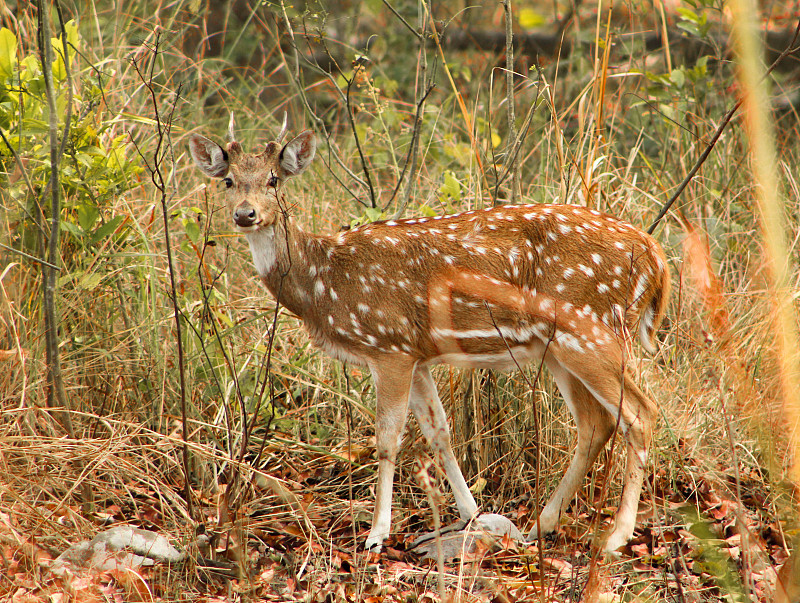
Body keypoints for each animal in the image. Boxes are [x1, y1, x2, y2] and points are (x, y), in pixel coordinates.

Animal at [191, 124, 672, 556]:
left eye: (274, 179)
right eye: (228, 180)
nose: (245, 214)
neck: (324, 283)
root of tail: (656, 256)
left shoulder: (389, 346)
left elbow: (387, 440)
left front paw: (377, 534)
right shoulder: (417, 354)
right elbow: (440, 432)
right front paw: (471, 514)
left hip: (592, 328)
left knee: (641, 414)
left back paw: (616, 536)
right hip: (559, 347)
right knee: (596, 423)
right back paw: (542, 524)